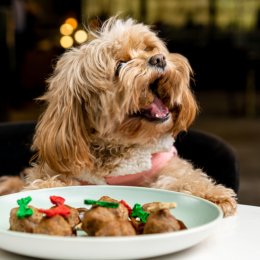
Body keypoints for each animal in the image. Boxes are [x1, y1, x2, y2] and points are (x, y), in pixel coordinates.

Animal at [0, 16, 236, 215]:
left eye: (148, 48)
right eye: (120, 65)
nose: (159, 59)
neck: (121, 149)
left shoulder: (166, 164)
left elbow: (186, 176)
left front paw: (212, 194)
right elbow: (47, 180)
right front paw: (45, 190)